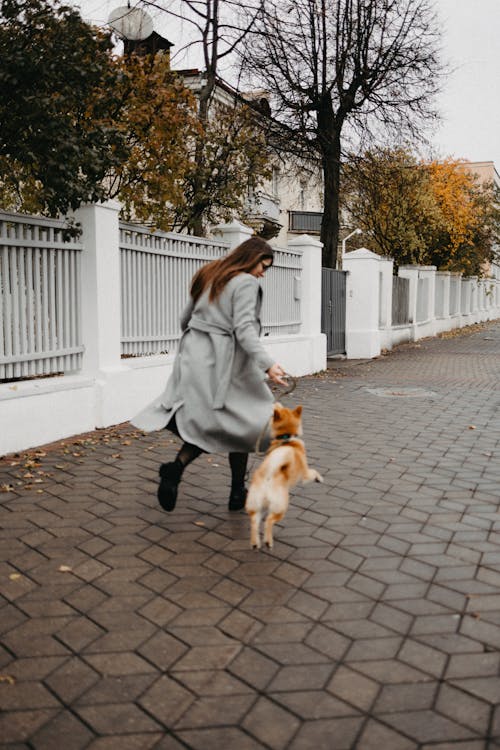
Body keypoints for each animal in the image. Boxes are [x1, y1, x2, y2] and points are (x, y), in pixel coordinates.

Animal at [246, 402, 324, 548]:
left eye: (281, 406)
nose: (275, 403)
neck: (286, 439)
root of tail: (268, 476)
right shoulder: (305, 474)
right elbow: (314, 472)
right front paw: (319, 478)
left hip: (256, 505)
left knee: (254, 521)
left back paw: (255, 543)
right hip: (280, 506)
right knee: (269, 521)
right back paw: (268, 541)